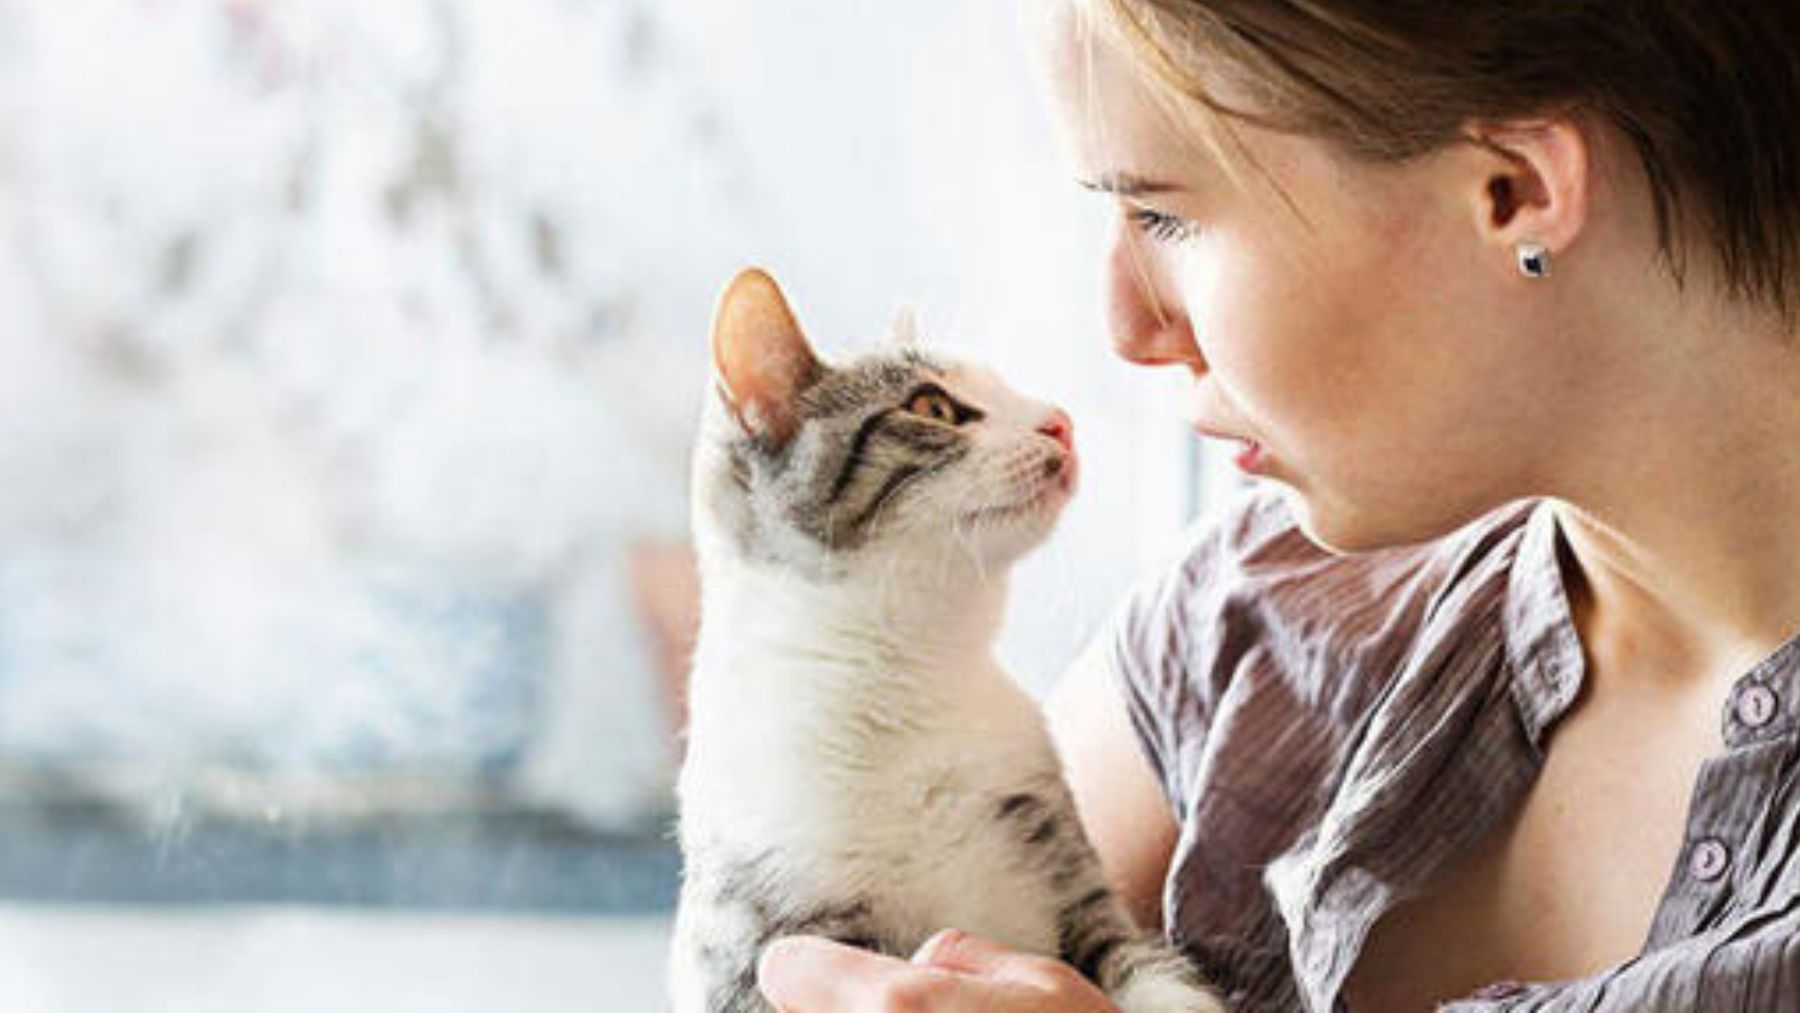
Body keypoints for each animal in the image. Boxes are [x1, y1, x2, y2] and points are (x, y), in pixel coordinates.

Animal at [669, 269, 1231, 1013]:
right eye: (932, 406)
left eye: (1007, 387)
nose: (1060, 419)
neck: (911, 670)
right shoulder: (770, 935)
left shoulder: (1067, 865)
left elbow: (1142, 968)